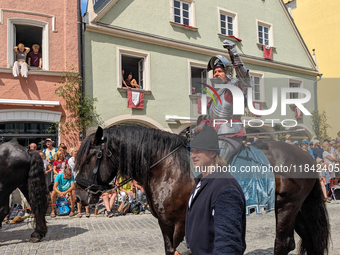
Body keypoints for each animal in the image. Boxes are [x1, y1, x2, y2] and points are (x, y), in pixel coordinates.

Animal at [75, 126, 330, 255]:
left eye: (91, 156)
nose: (79, 195)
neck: (166, 166)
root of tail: (305, 154)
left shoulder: (180, 221)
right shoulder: (164, 223)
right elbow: (170, 250)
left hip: (287, 207)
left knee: (283, 244)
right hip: (297, 208)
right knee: (307, 240)